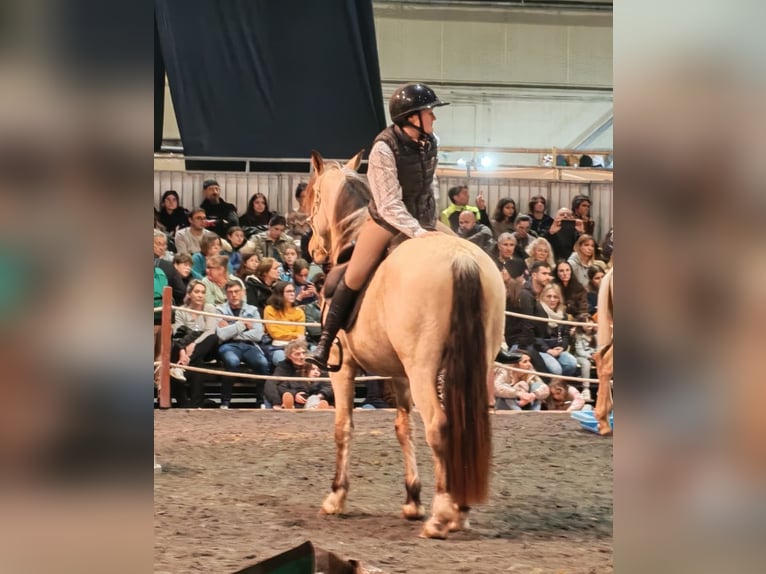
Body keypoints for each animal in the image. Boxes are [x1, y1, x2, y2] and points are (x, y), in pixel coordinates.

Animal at [303, 150, 507, 539]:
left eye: (311, 196)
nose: (311, 248)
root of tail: (461, 259)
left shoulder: (344, 368)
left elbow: (343, 427)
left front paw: (336, 497)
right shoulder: (398, 374)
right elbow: (402, 427)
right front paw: (412, 499)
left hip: (423, 369)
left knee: (439, 426)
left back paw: (442, 517)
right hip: (470, 367)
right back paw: (459, 509)